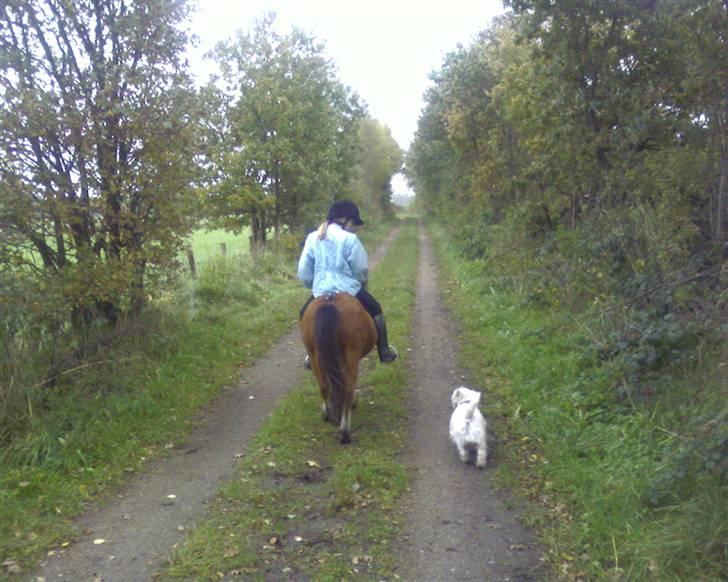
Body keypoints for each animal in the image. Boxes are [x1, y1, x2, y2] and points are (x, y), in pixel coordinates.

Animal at [298, 294, 376, 444]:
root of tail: (330, 302)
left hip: (314, 355)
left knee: (324, 387)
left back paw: (327, 415)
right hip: (351, 354)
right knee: (348, 390)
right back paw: (345, 432)